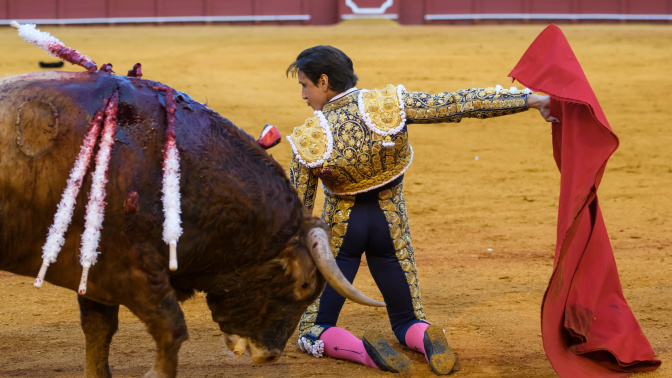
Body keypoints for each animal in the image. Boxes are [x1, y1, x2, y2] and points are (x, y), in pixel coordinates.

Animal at [0, 69, 384, 376]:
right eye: (304, 286)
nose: (270, 355)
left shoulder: (94, 276)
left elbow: (99, 334)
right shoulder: (127, 269)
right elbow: (171, 328)